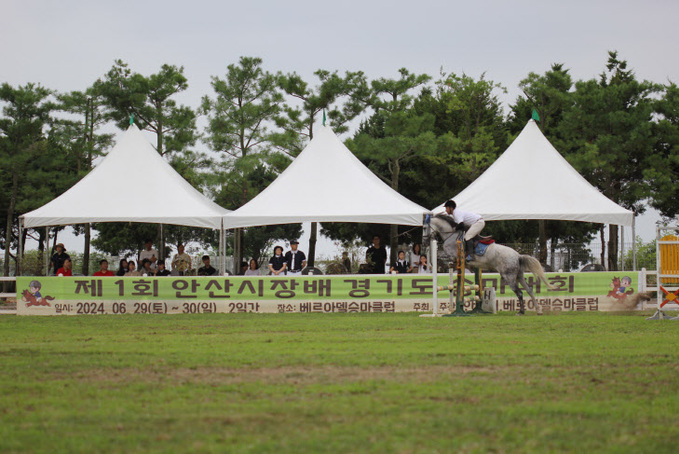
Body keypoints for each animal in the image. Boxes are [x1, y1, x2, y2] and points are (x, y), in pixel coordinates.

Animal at [428, 214, 556, 314]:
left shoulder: (453, 255)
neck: (451, 236)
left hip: (508, 277)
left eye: (425, 227)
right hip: (519, 275)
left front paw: (435, 264)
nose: (426, 239)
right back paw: (538, 310)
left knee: (519, 292)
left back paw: (521, 312)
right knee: (529, 289)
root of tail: (517, 255)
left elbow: (439, 255)